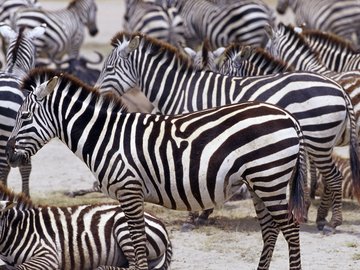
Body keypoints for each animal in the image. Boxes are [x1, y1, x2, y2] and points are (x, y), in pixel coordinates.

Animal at [0, 182, 173, 268]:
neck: (19, 229)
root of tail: (158, 220)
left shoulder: (47, 254)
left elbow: (20, 268)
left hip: (123, 228)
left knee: (134, 266)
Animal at [94, 31, 360, 231]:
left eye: (109, 68)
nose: (95, 92)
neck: (181, 89)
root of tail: (338, 88)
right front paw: (202, 213)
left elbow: (192, 174)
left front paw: (194, 217)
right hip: (318, 142)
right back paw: (321, 218)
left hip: (317, 139)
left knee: (333, 177)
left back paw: (331, 223)